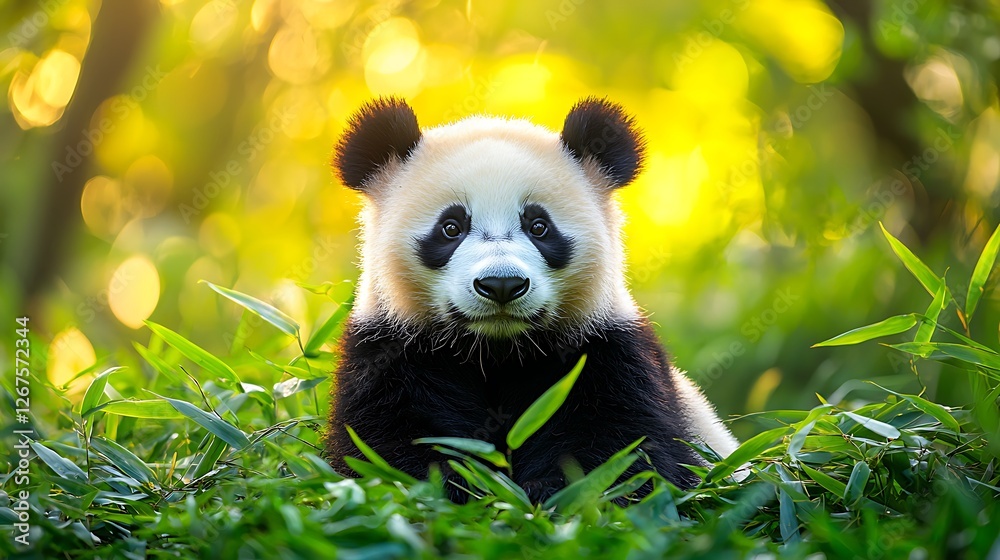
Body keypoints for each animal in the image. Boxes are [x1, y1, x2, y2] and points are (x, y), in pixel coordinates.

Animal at [325, 96, 740, 502]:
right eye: (451, 227)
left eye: (539, 226)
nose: (501, 284)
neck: (496, 350)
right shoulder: (391, 350)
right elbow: (390, 445)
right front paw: (463, 487)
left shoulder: (606, 350)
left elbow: (623, 450)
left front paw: (550, 495)